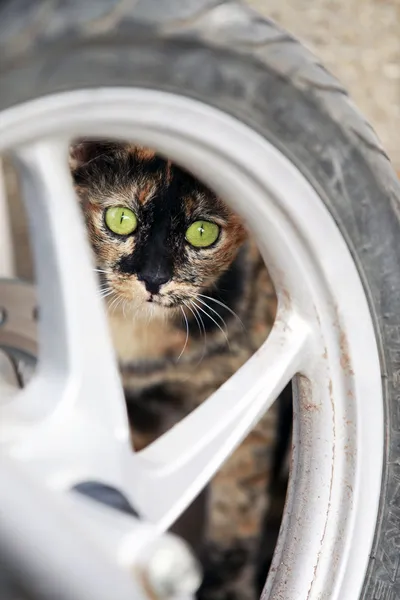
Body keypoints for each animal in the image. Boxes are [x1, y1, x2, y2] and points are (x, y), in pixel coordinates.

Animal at [70, 142, 290, 600]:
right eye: (121, 219)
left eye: (202, 232)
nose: (153, 278)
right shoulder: (133, 407)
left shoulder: (249, 413)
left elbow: (237, 504)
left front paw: (226, 588)